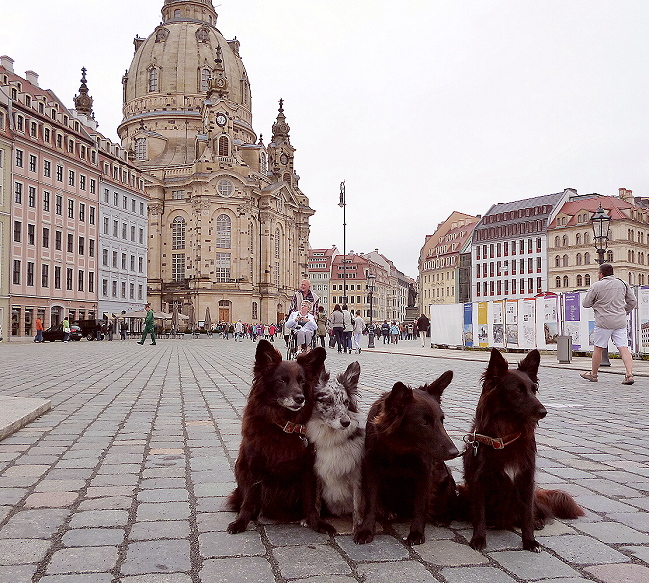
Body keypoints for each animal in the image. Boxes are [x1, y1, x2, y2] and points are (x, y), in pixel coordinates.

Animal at [225, 340, 334, 536]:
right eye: (281, 380)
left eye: (302, 381)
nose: (300, 398)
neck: (283, 426)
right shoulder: (252, 467)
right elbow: (248, 501)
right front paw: (241, 522)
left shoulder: (307, 470)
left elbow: (310, 501)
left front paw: (315, 522)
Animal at [352, 372, 458, 544]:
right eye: (424, 423)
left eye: (442, 420)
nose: (456, 452)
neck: (398, 447)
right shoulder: (371, 469)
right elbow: (371, 504)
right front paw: (366, 530)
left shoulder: (424, 472)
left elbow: (420, 506)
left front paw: (416, 533)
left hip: (446, 480)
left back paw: (441, 518)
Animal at [460, 350, 584, 556]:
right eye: (518, 391)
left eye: (534, 389)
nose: (544, 411)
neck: (505, 438)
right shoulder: (479, 482)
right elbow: (480, 514)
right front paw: (478, 538)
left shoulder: (526, 480)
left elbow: (526, 517)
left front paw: (530, 541)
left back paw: (538, 522)